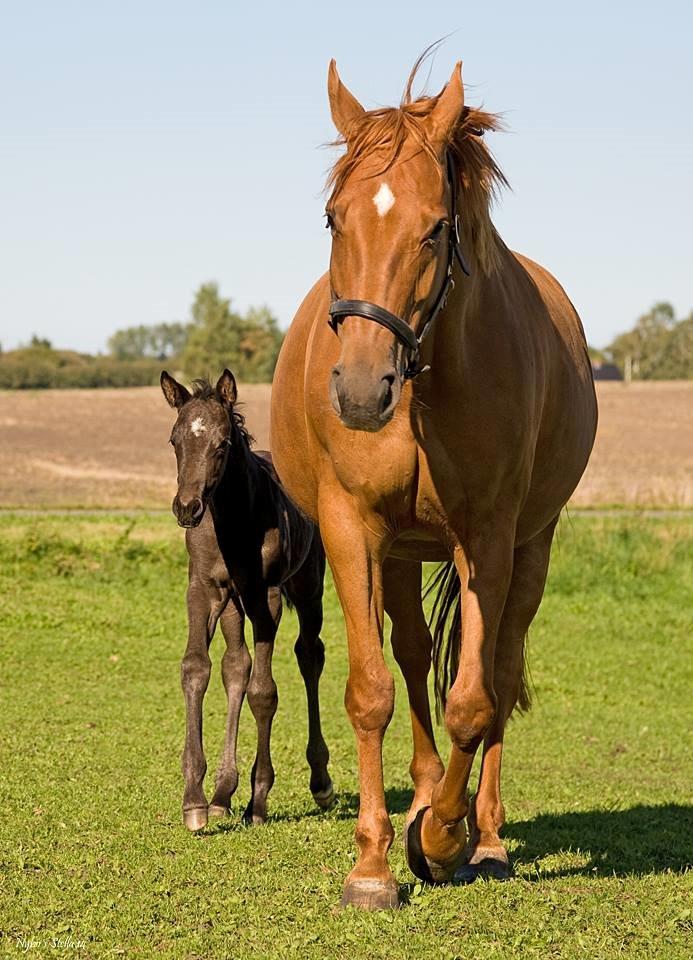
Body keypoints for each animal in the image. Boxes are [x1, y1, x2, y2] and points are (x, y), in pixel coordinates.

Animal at [162, 370, 336, 832]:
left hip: (307, 587)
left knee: (309, 654)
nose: (187, 508)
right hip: (233, 605)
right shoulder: (204, 589)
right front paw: (195, 799)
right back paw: (222, 793)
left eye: (222, 443)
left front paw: (257, 802)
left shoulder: (266, 594)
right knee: (235, 666)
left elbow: (264, 692)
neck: (233, 518)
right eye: (174, 440)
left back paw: (320, 782)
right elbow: (197, 668)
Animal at [270, 56, 596, 912]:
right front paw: (373, 865)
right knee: (414, 658)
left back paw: (482, 835)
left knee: (498, 671)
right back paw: (418, 799)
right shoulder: (352, 529)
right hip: (399, 551)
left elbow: (474, 700)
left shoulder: (488, 537)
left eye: (435, 228)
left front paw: (444, 840)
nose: (359, 389)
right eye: (333, 219)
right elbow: (372, 690)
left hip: (527, 547)